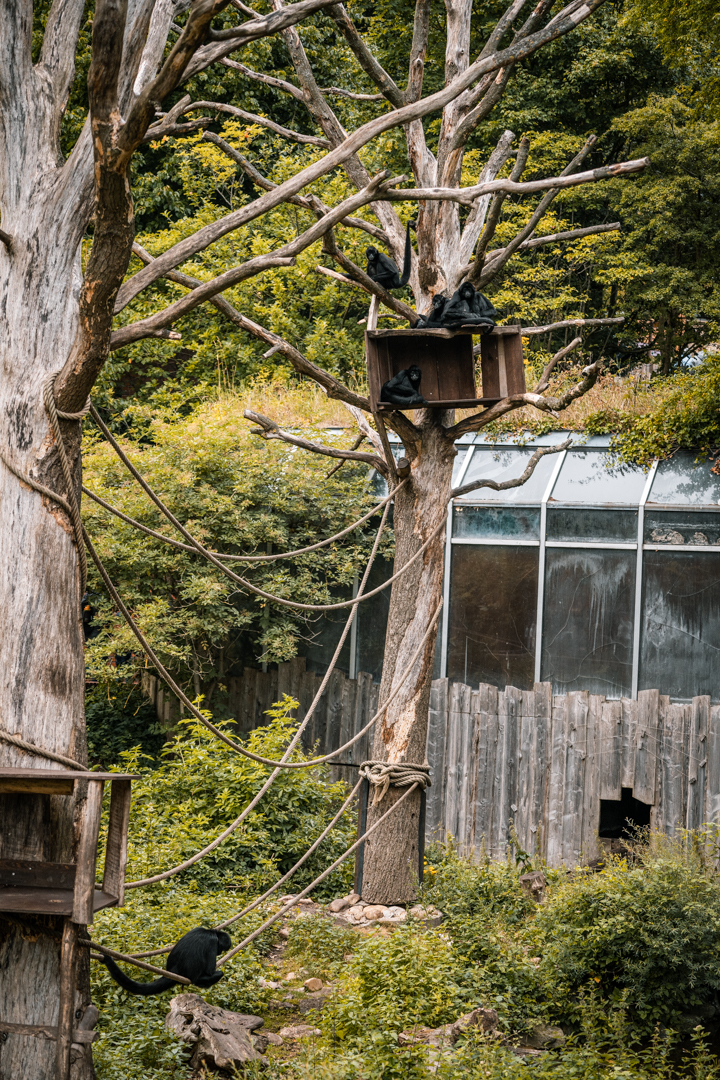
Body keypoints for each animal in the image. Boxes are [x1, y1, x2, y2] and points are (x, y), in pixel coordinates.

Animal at [100, 927, 232, 996]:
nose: (219, 952)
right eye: (220, 948)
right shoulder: (212, 942)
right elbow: (210, 971)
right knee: (216, 974)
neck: (210, 931)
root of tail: (174, 971)